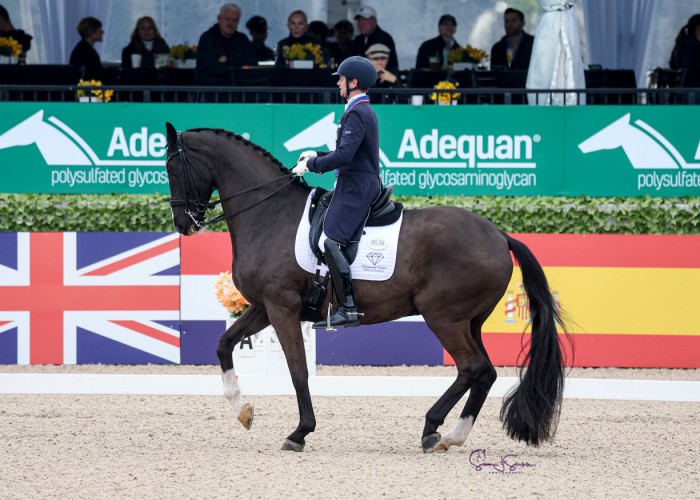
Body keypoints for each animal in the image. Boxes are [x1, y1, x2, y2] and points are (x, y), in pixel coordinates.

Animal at [167, 122, 572, 454]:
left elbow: (298, 371)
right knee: (484, 372)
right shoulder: (265, 306)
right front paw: (243, 410)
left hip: (444, 317)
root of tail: (500, 236)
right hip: (470, 321)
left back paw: (435, 429)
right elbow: (224, 344)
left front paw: (299, 432)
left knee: (472, 368)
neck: (269, 214)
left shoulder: (282, 308)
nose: (183, 224)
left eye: (172, 169)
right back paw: (448, 434)